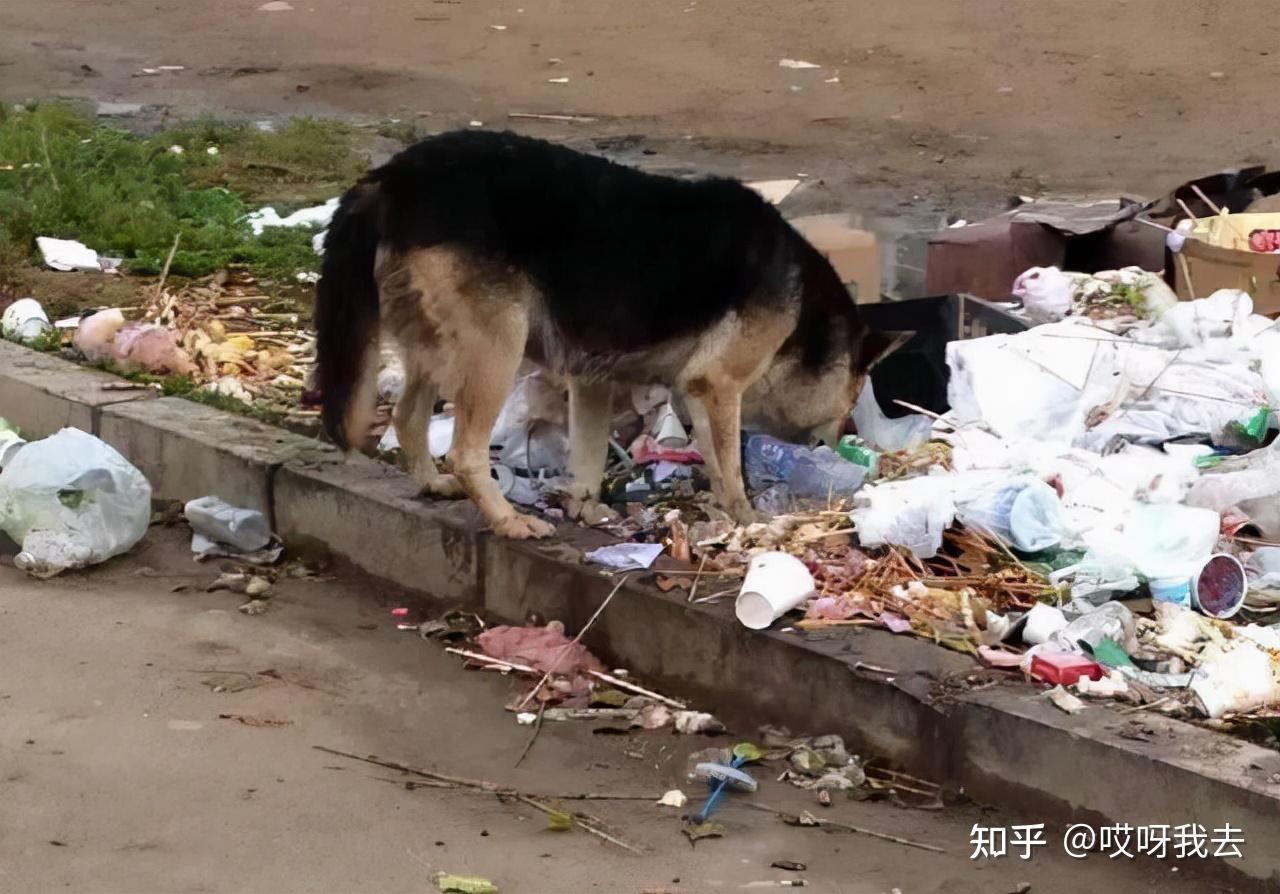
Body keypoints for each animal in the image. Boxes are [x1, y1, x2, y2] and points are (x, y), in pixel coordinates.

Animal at [313, 130, 906, 535]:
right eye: (850, 400)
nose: (836, 448)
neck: (805, 308)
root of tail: (390, 178)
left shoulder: (593, 382)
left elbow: (591, 454)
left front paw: (585, 505)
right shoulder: (715, 387)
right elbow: (727, 465)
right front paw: (744, 516)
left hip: (437, 348)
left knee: (408, 416)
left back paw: (432, 482)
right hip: (495, 349)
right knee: (464, 451)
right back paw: (507, 520)